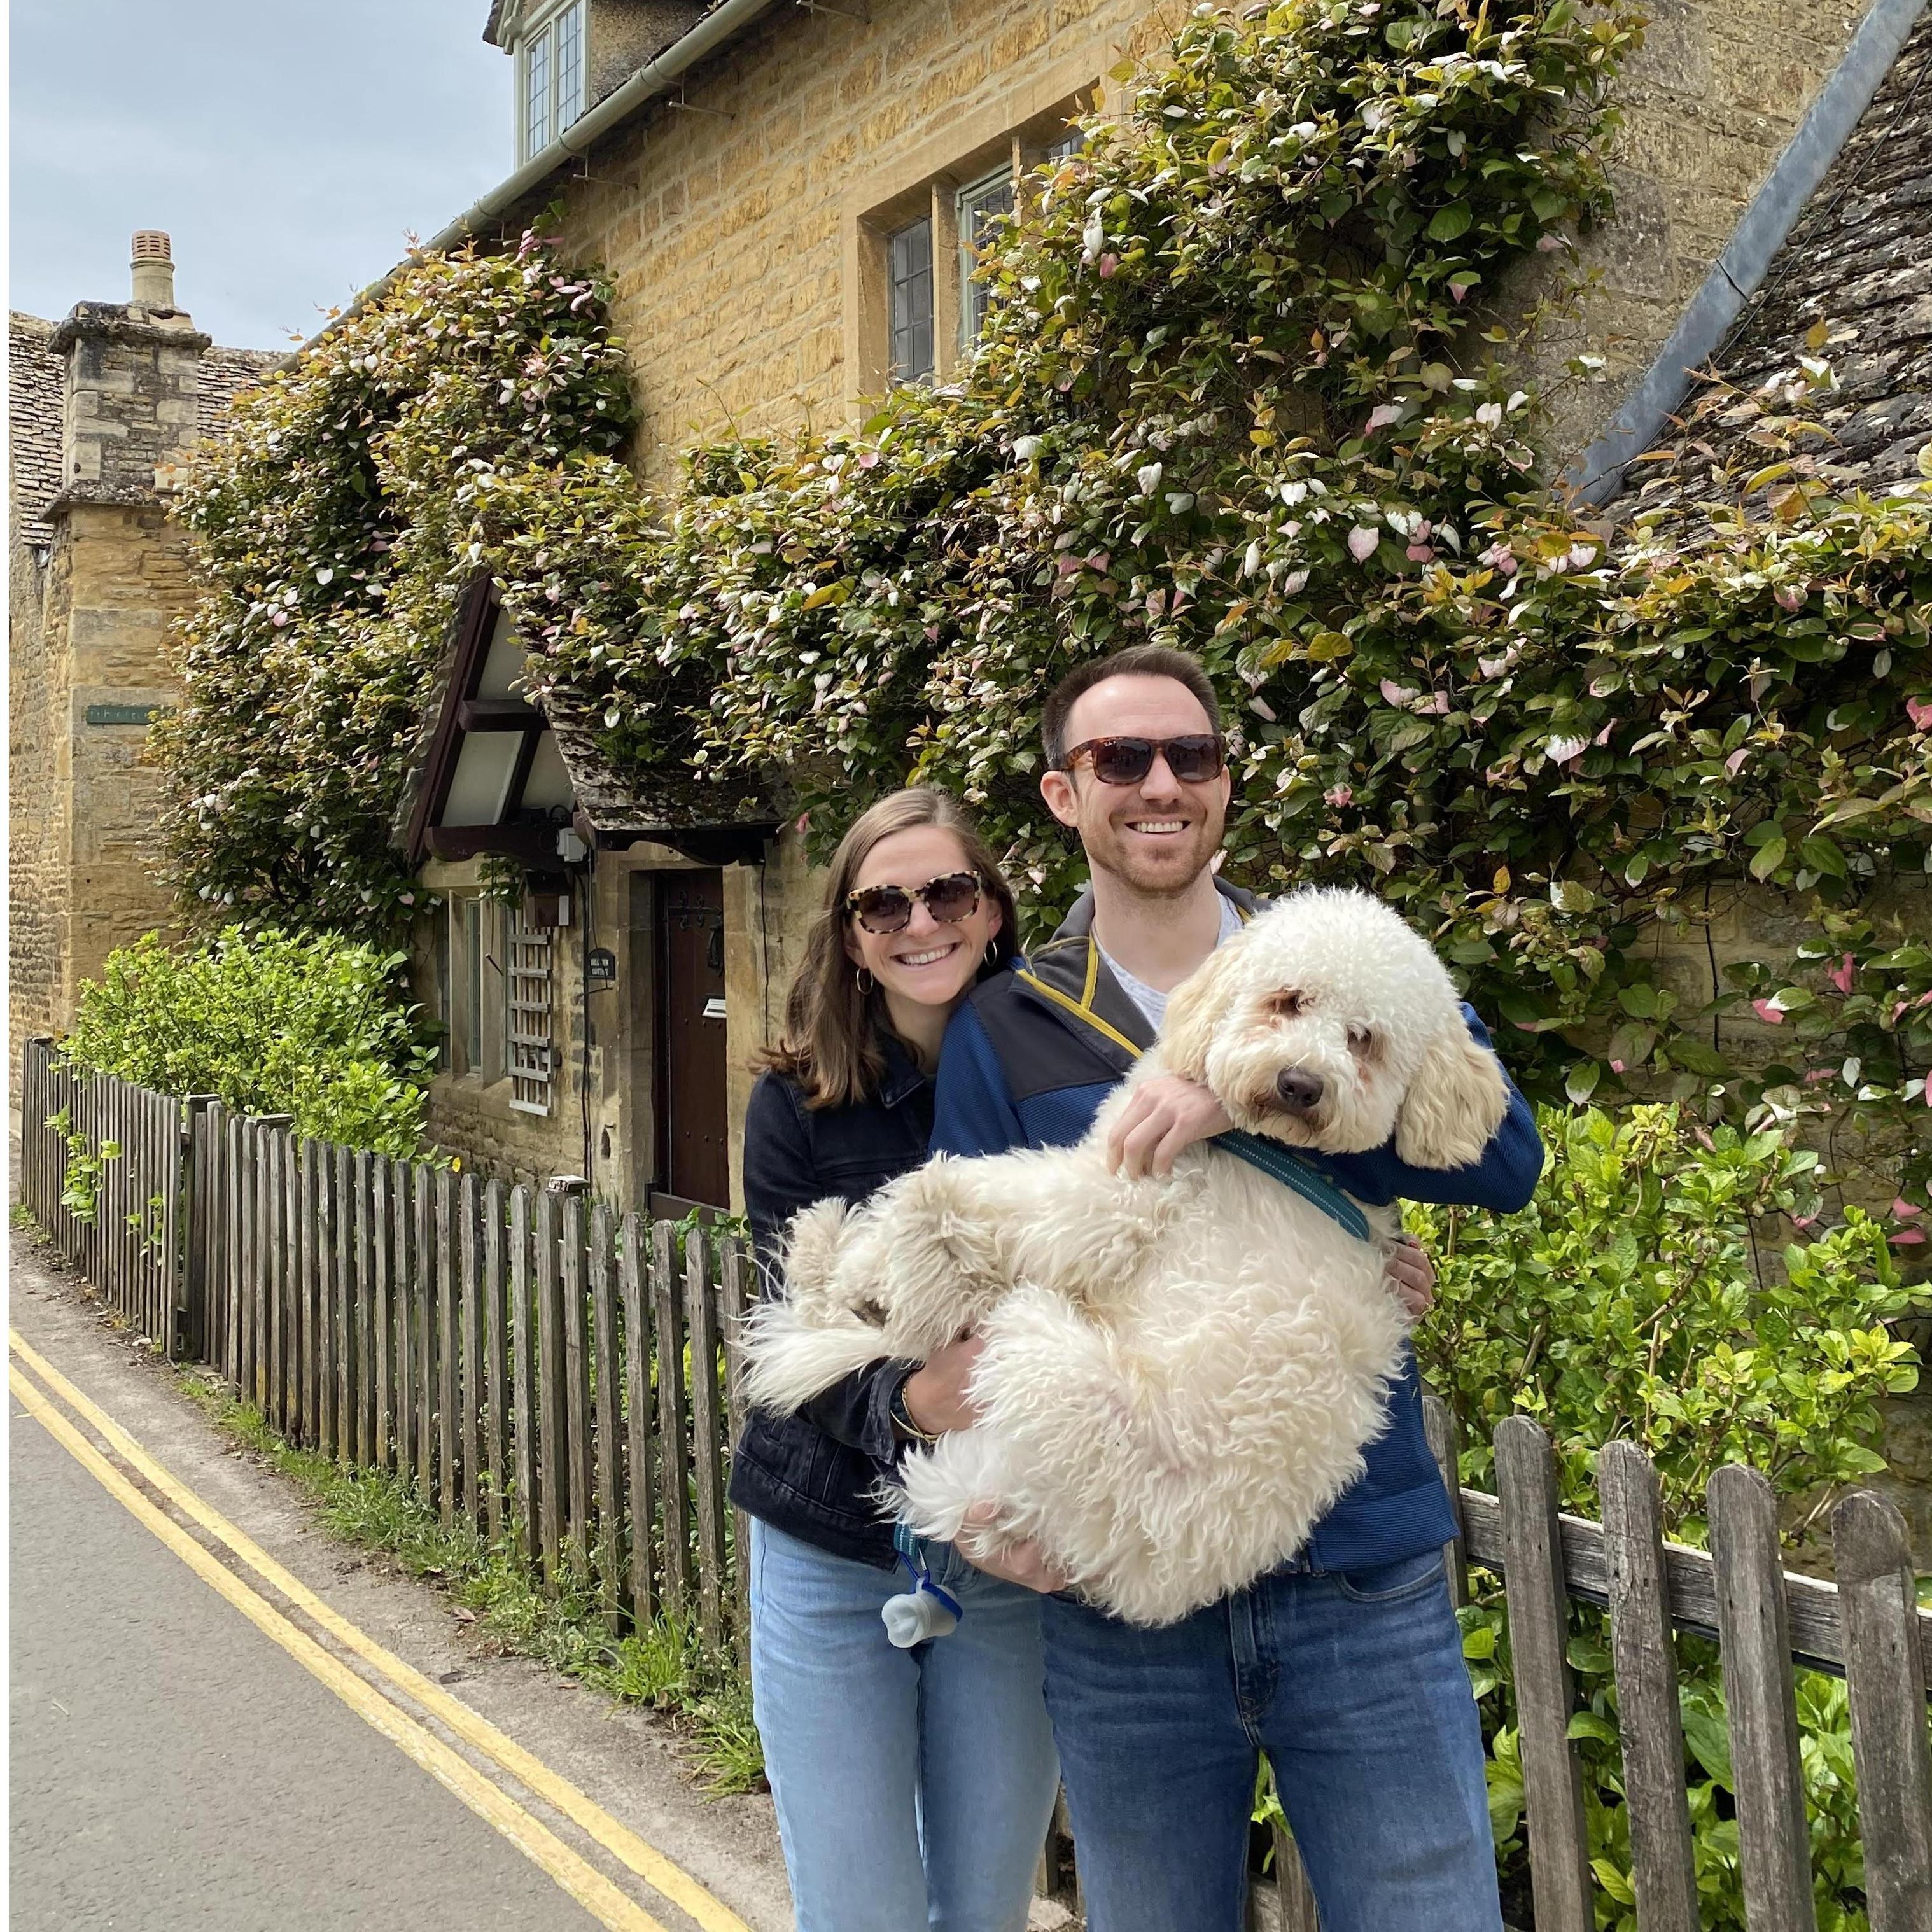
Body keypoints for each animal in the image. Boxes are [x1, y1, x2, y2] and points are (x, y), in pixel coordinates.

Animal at [738, 888, 1507, 1630]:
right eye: (1288, 1001)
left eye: (1362, 1040)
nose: (1300, 1083)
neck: (1274, 1150)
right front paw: (866, 1273)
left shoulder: (1113, 1202)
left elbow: (959, 1194)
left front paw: (869, 1268)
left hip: (1044, 1353)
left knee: (960, 1283)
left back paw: (841, 1267)